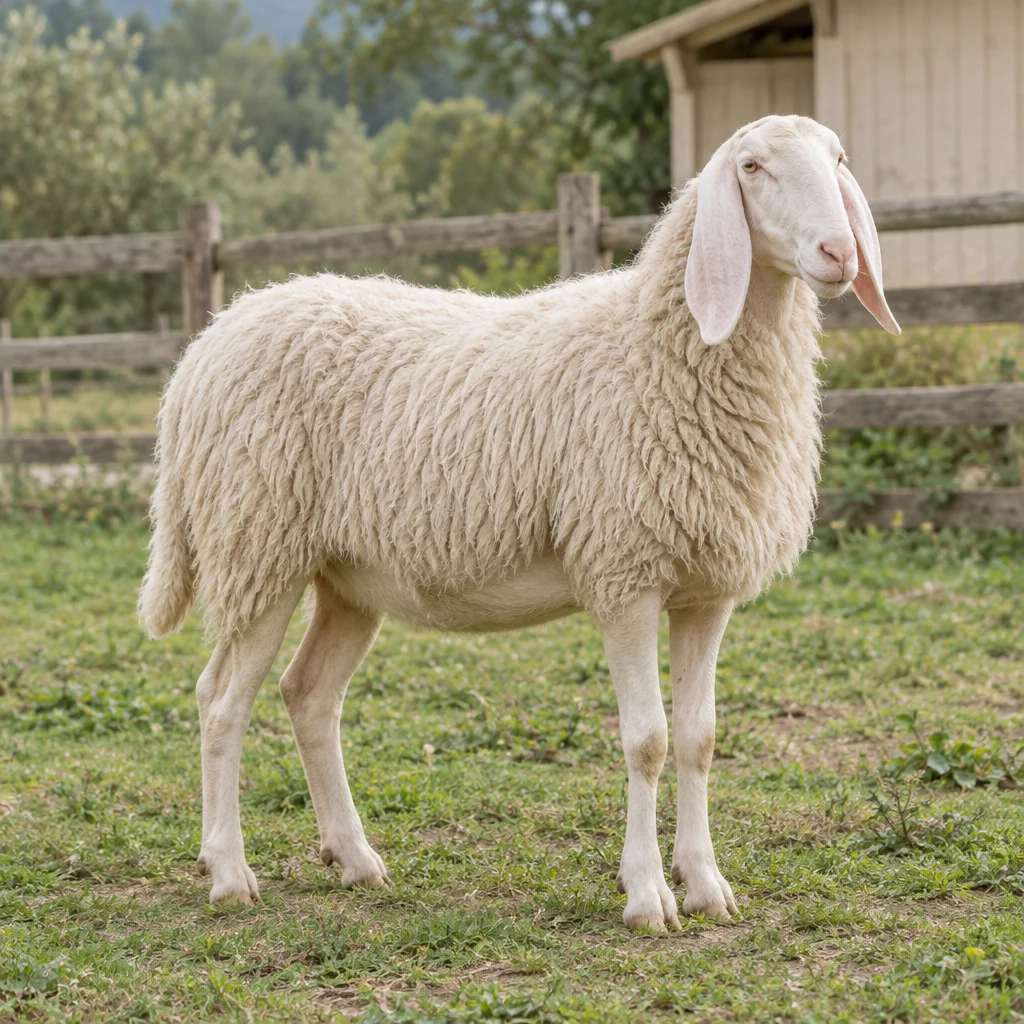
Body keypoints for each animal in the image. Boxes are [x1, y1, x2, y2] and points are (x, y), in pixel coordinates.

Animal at [140, 114, 899, 931]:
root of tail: (205, 347)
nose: (839, 253)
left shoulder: (705, 588)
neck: (658, 344)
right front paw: (646, 896)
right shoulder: (623, 572)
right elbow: (647, 741)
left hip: (344, 575)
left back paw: (354, 859)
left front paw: (704, 884)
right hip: (256, 544)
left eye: (838, 158)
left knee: (308, 696)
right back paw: (227, 872)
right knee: (221, 702)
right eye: (753, 167)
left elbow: (699, 740)